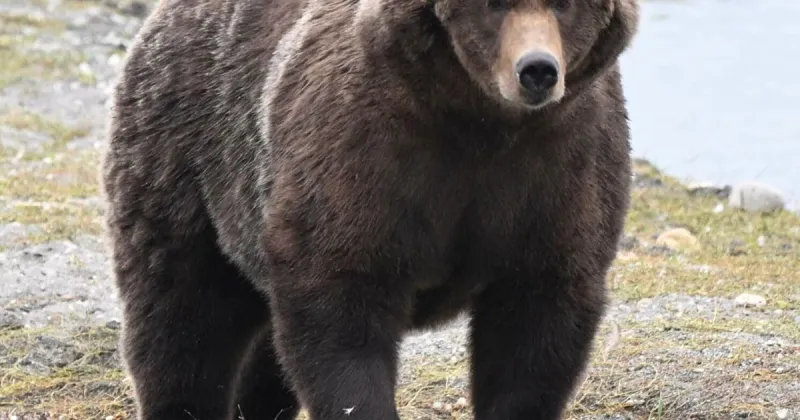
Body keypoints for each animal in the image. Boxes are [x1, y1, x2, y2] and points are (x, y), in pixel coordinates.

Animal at [101, 0, 640, 418]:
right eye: (494, 4)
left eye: (565, 5)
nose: (537, 70)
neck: (482, 123)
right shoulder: (366, 155)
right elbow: (342, 310)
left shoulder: (558, 170)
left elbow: (536, 327)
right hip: (190, 158)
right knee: (183, 314)